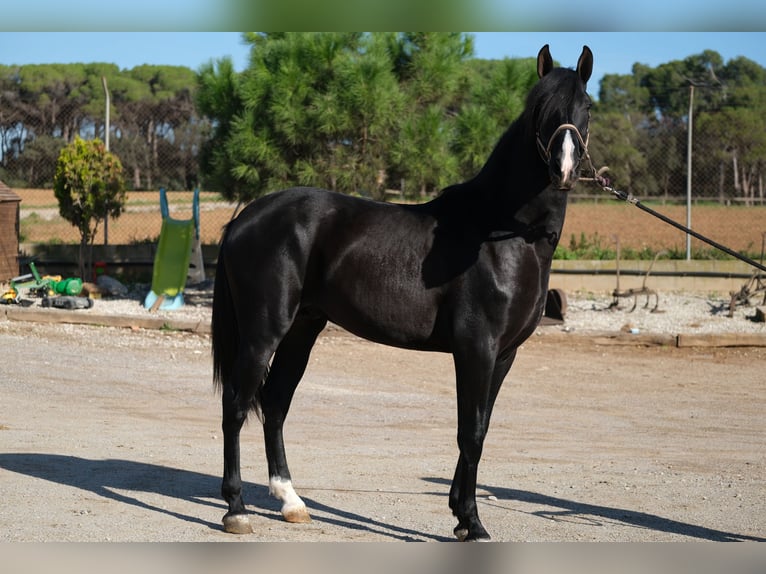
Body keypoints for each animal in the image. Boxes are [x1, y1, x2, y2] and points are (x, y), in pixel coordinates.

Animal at [213, 46, 596, 544]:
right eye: (540, 109)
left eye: (586, 107)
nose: (563, 169)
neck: (502, 234)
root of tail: (244, 219)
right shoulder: (476, 349)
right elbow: (470, 433)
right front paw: (473, 522)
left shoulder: (504, 355)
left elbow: (480, 429)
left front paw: (460, 517)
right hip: (264, 330)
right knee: (237, 405)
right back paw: (236, 509)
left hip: (302, 328)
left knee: (275, 404)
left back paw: (292, 502)